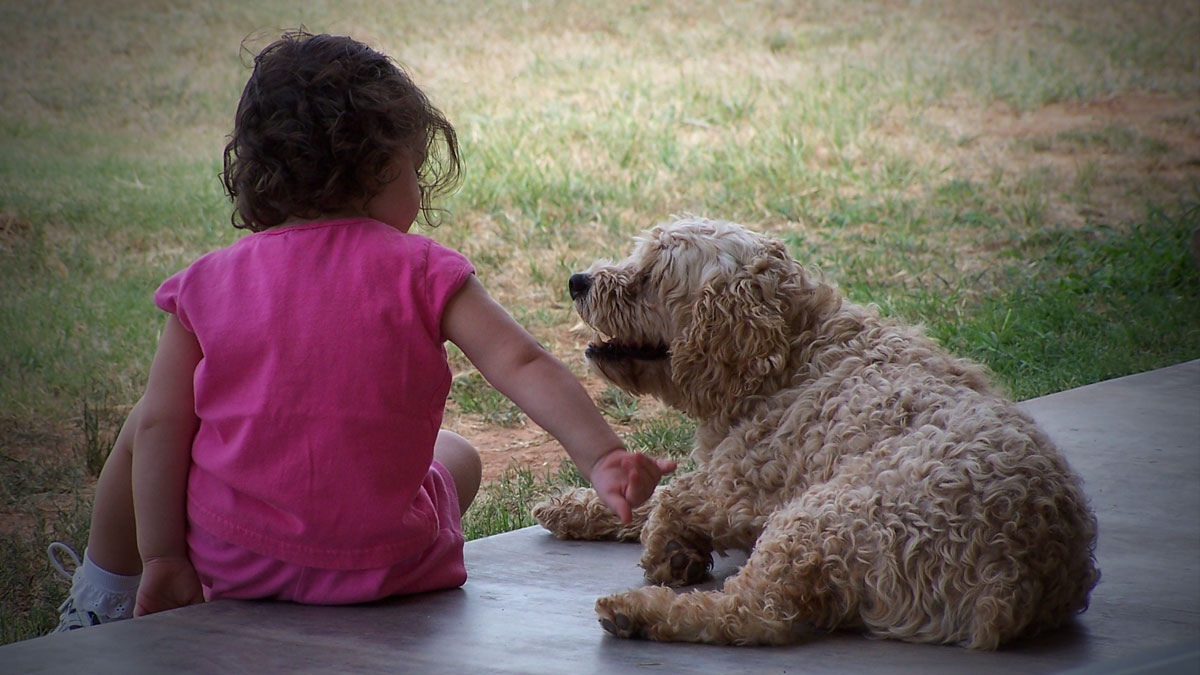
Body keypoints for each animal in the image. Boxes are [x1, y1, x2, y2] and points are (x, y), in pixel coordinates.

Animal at [535, 214, 1099, 648]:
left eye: (652, 273)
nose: (578, 280)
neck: (789, 354)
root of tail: (1018, 580)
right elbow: (650, 496)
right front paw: (578, 507)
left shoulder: (748, 491)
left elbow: (672, 496)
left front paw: (667, 550)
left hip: (818, 516)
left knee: (751, 615)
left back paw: (635, 612)